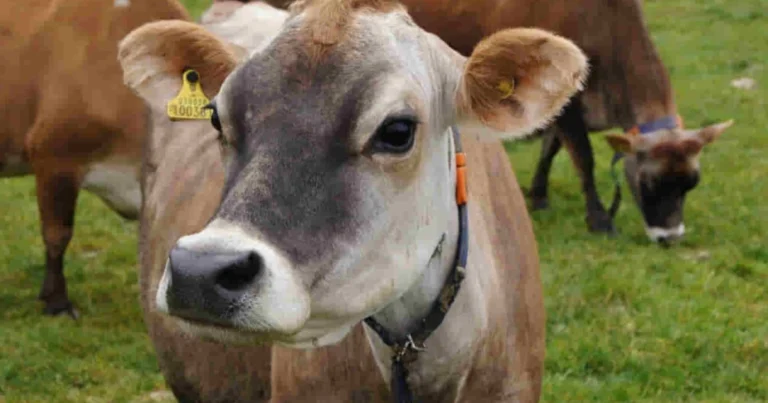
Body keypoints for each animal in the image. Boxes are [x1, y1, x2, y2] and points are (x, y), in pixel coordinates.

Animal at [257, 0, 734, 243]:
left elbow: (551, 148)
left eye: (690, 183)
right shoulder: (572, 103)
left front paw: (538, 194)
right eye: (650, 182)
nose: (671, 236)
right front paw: (600, 218)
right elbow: (583, 157)